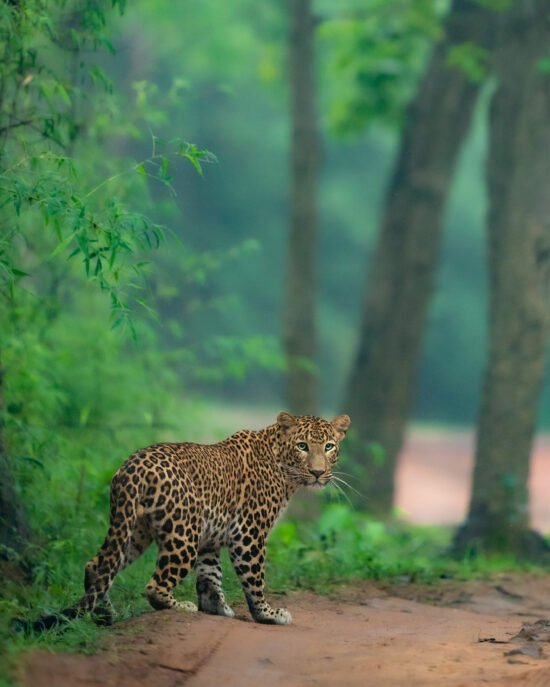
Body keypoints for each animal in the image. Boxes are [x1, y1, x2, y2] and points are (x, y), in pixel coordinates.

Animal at [23, 412, 352, 632]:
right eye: (302, 446)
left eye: (329, 446)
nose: (318, 473)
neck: (284, 468)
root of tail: (130, 466)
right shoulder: (249, 534)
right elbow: (254, 579)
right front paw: (267, 614)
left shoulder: (211, 536)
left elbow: (210, 576)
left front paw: (216, 607)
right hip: (183, 534)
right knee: (153, 585)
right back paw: (179, 606)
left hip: (133, 529)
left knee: (98, 565)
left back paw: (105, 614)